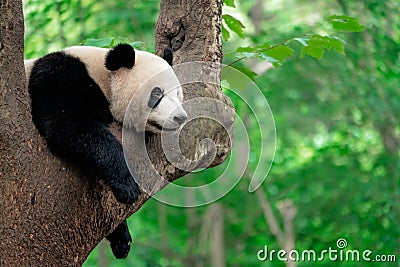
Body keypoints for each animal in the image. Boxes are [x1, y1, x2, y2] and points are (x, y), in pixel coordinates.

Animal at [24, 44, 188, 260]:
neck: (103, 78)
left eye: (178, 95)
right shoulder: (58, 79)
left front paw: (121, 239)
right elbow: (69, 125)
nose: (180, 118)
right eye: (156, 94)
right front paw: (127, 186)